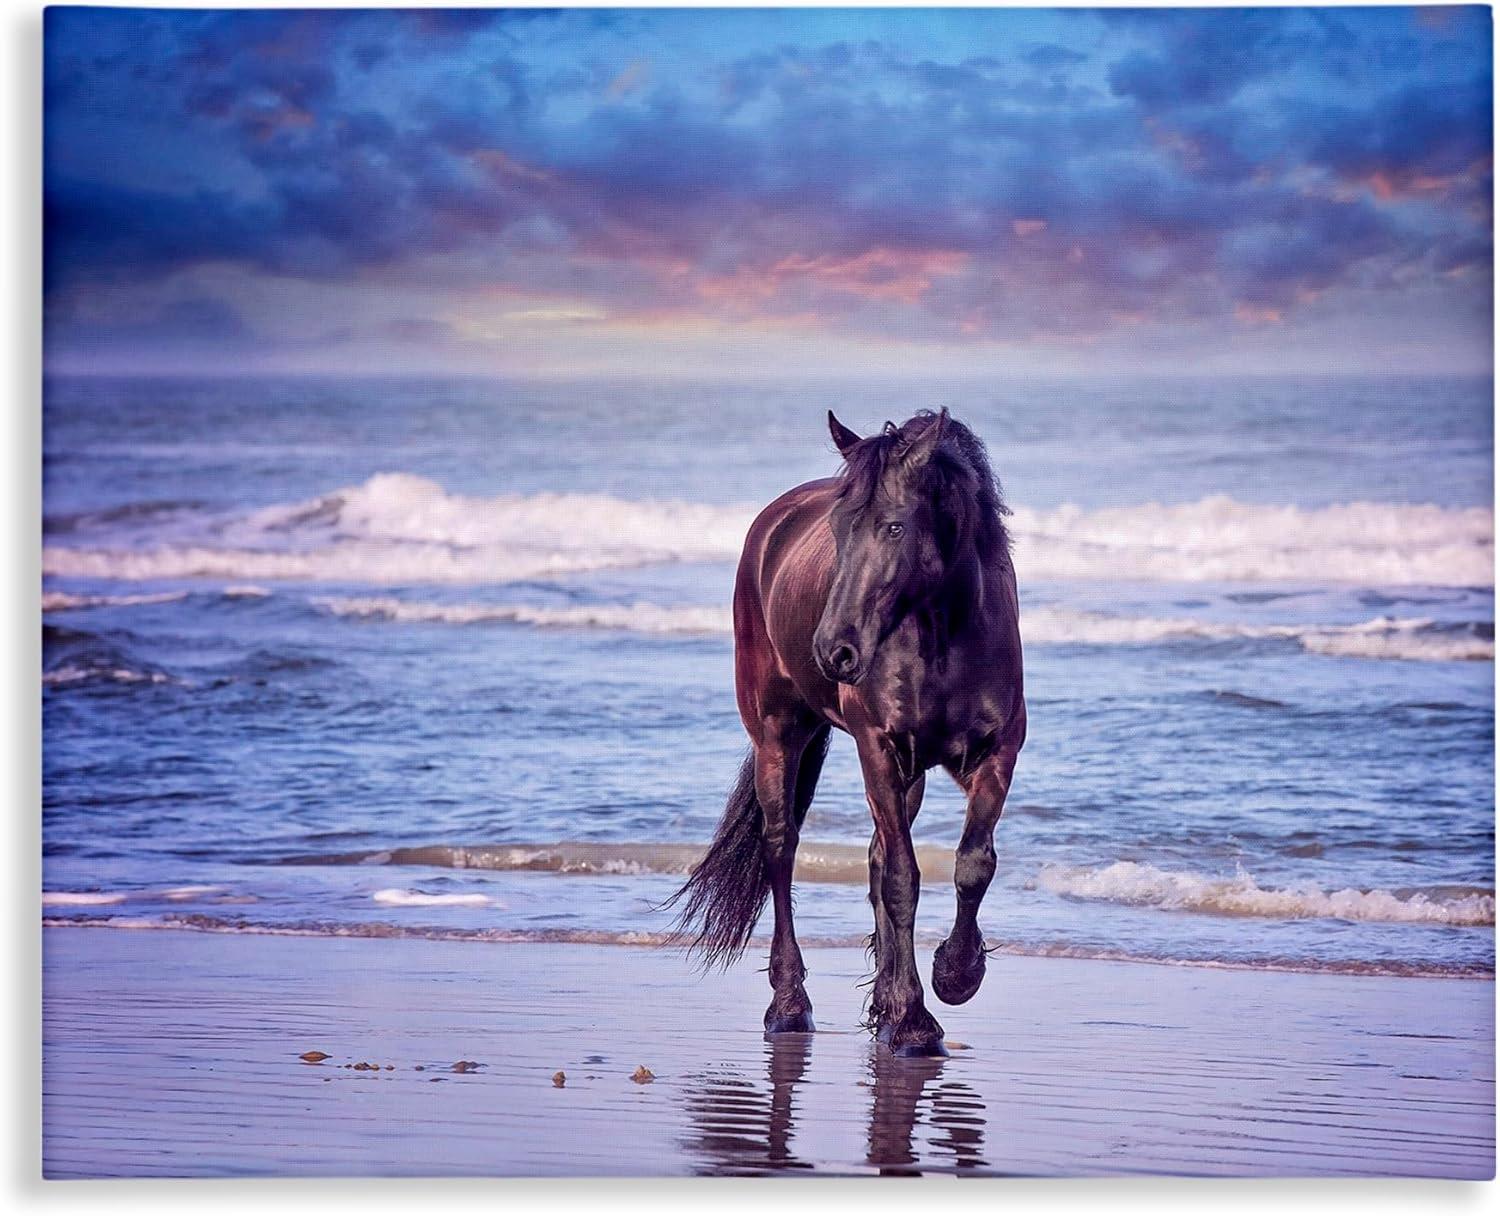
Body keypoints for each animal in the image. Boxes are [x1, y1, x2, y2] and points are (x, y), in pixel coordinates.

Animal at [666, 407, 1020, 1055]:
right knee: (781, 848)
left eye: (896, 527)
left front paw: (953, 976)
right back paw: (789, 1004)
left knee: (876, 857)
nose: (833, 650)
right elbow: (904, 878)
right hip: (777, 734)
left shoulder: (996, 752)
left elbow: (971, 864)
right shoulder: (877, 749)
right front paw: (916, 1021)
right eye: (837, 527)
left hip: (908, 772)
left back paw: (883, 1001)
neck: (943, 637)